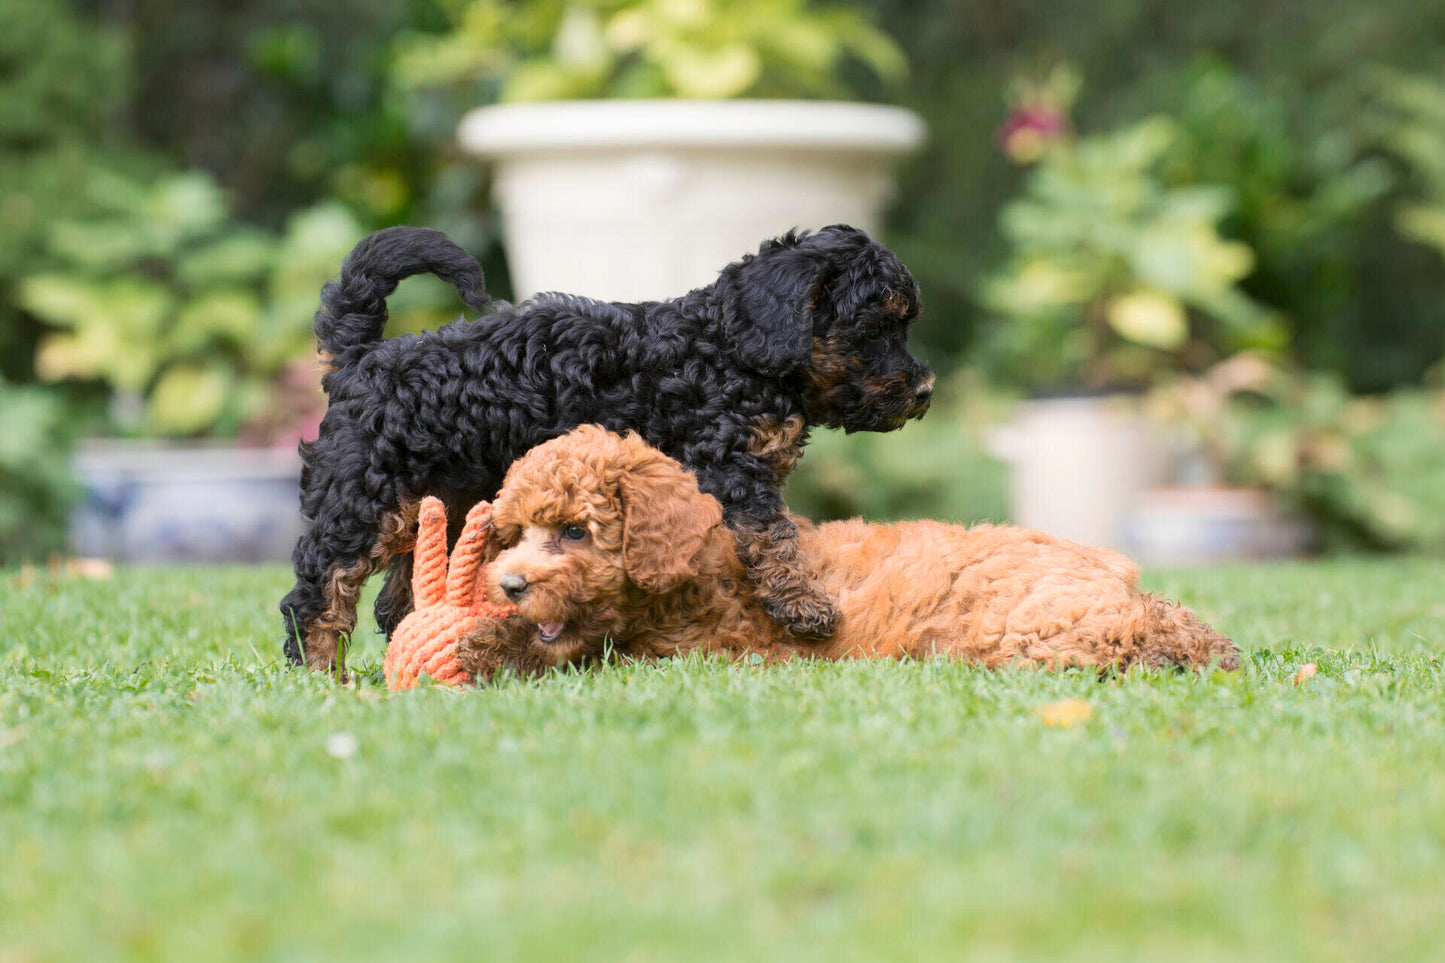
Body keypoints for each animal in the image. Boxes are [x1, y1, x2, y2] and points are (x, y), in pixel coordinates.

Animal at [280, 225, 930, 673]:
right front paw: (804, 605)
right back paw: (322, 676)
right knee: (318, 591)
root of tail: (362, 358)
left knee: (400, 596)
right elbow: (774, 539)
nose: (924, 390)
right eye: (875, 329)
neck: (728, 349)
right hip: (365, 494)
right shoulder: (729, 469)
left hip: (451, 500)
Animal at [456, 425, 1236, 679]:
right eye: (511, 534)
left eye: (575, 533)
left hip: (1023, 628)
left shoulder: (706, 649)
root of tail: (1118, 571)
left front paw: (492, 648)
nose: (510, 584)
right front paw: (493, 638)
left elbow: (595, 653)